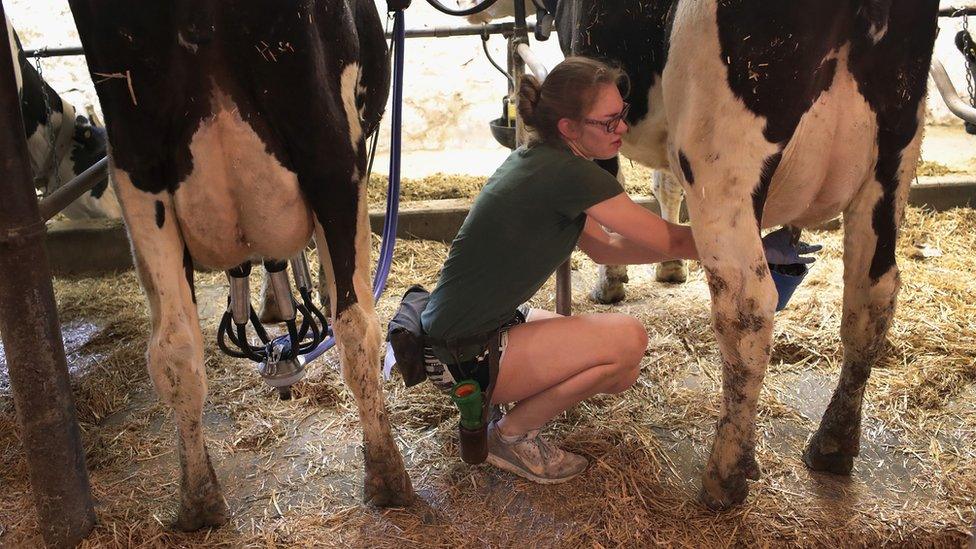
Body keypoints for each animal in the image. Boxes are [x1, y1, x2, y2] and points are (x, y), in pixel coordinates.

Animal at [67, 1, 412, 532]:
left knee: (173, 347)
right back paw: (388, 474)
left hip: (137, 170)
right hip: (329, 147)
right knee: (356, 326)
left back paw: (198, 500)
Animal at [462, 0, 940, 508]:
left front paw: (610, 283)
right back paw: (833, 443)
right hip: (893, 158)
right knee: (872, 295)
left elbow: (611, 184)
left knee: (747, 309)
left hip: (721, 158)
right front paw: (670, 268)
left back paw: (725, 473)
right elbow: (663, 184)